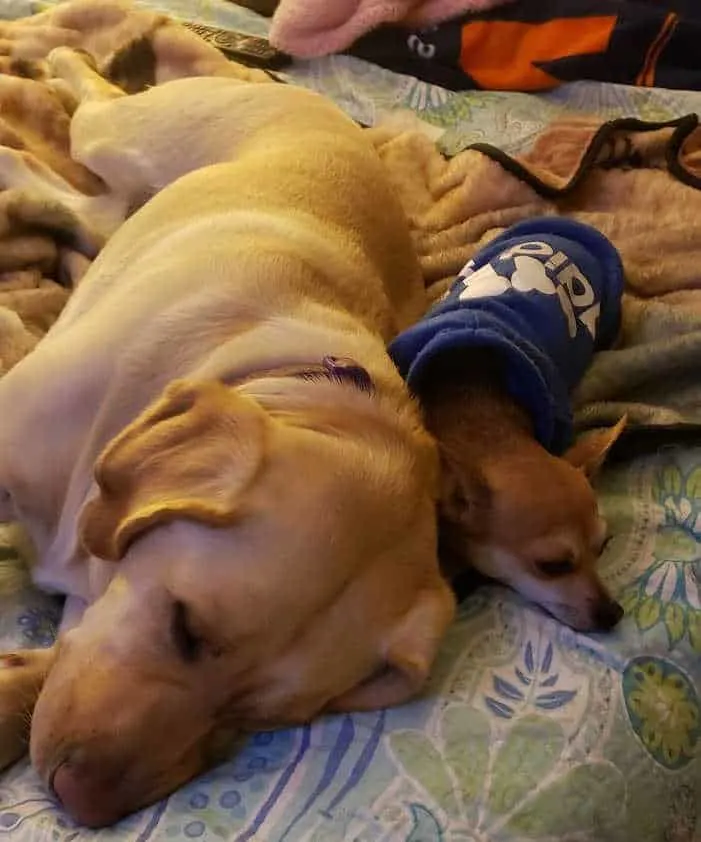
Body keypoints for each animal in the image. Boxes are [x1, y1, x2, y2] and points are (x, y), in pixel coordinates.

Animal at [0, 47, 456, 828]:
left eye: (247, 719)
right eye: (187, 625)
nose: (80, 803)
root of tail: (317, 106)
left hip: (121, 195)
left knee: (86, 204)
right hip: (129, 131)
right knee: (88, 106)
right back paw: (60, 58)